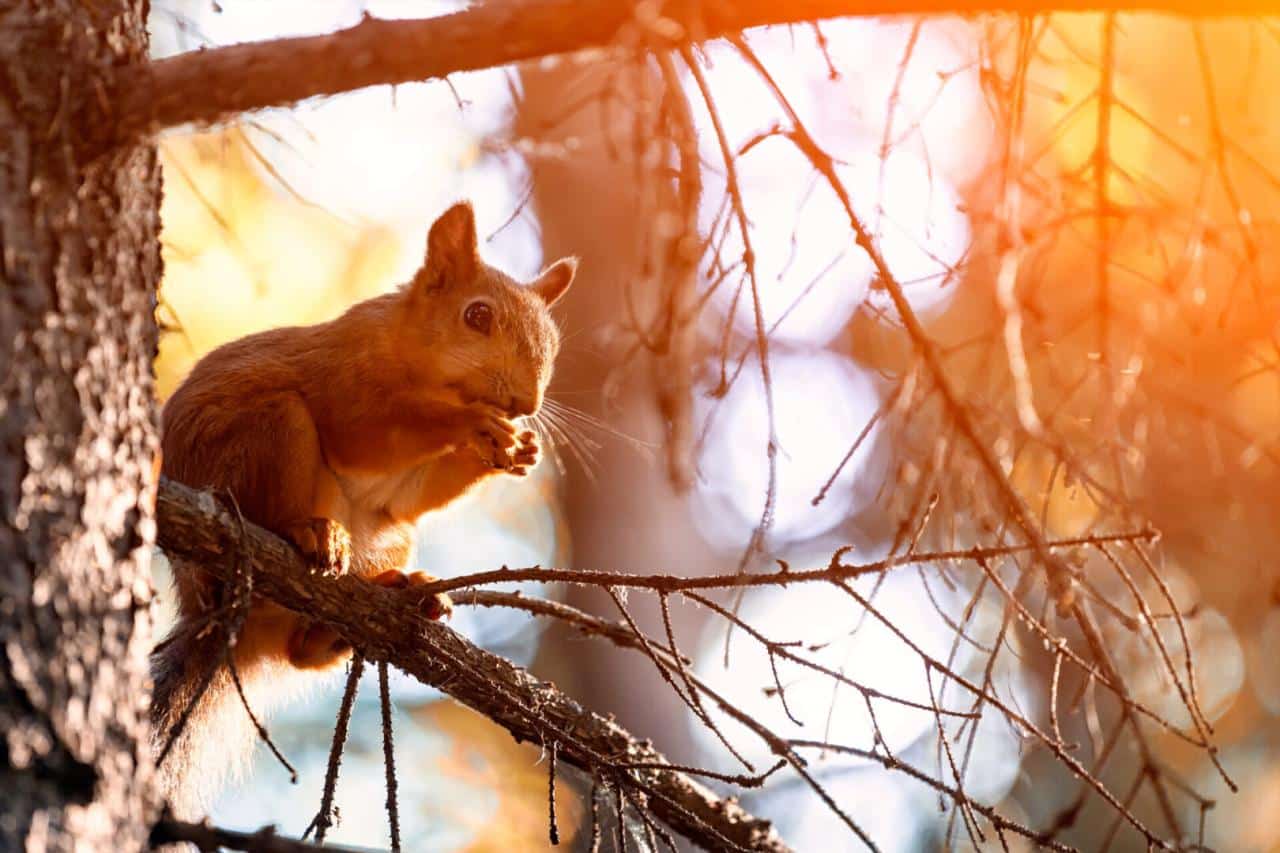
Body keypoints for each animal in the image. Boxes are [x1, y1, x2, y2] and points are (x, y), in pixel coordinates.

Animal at [147, 201, 578, 819]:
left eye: (554, 340)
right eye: (477, 316)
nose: (526, 404)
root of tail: (210, 607)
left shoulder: (404, 491)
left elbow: (413, 493)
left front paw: (517, 449)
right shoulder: (345, 378)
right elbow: (372, 432)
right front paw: (471, 426)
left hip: (391, 537)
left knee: (300, 653)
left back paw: (385, 603)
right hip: (266, 434)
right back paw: (312, 533)